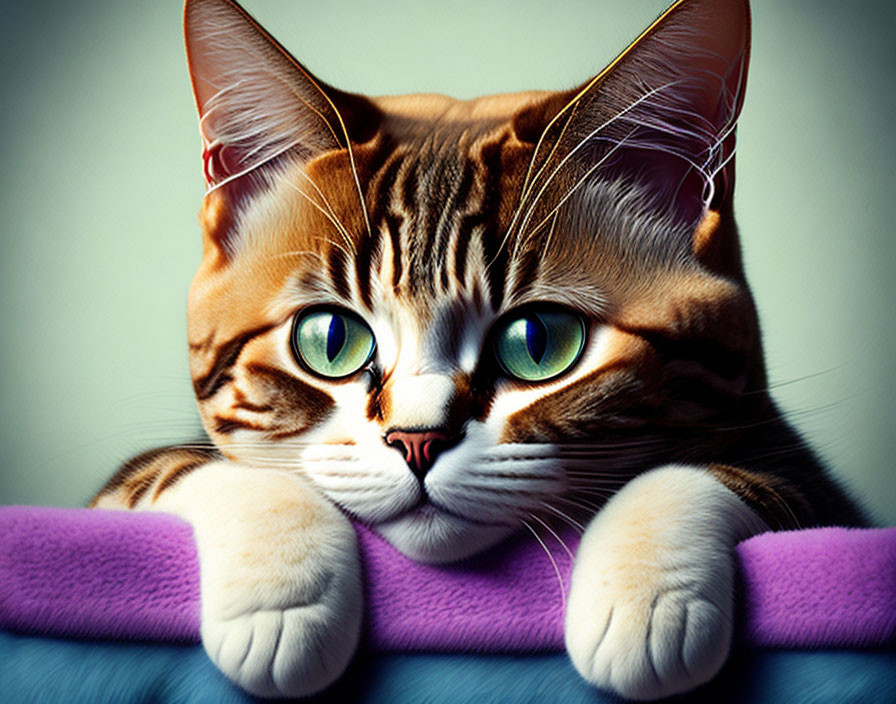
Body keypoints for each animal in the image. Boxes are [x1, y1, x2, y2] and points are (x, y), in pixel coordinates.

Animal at [87, 0, 864, 700]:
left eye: (537, 342)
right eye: (331, 339)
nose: (417, 439)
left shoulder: (820, 494)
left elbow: (738, 480)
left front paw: (648, 594)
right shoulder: (122, 493)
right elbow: (183, 468)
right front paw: (280, 598)